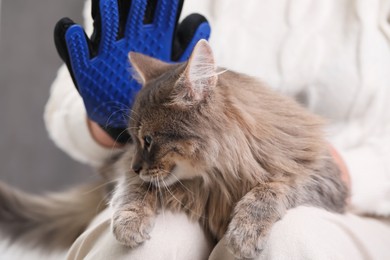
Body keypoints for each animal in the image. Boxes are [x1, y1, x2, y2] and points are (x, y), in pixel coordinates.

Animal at [0, 39, 348, 256]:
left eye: (149, 139)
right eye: (133, 139)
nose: (136, 164)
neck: (217, 178)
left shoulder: (323, 179)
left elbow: (272, 188)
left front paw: (245, 232)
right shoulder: (128, 170)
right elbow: (134, 190)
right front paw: (129, 223)